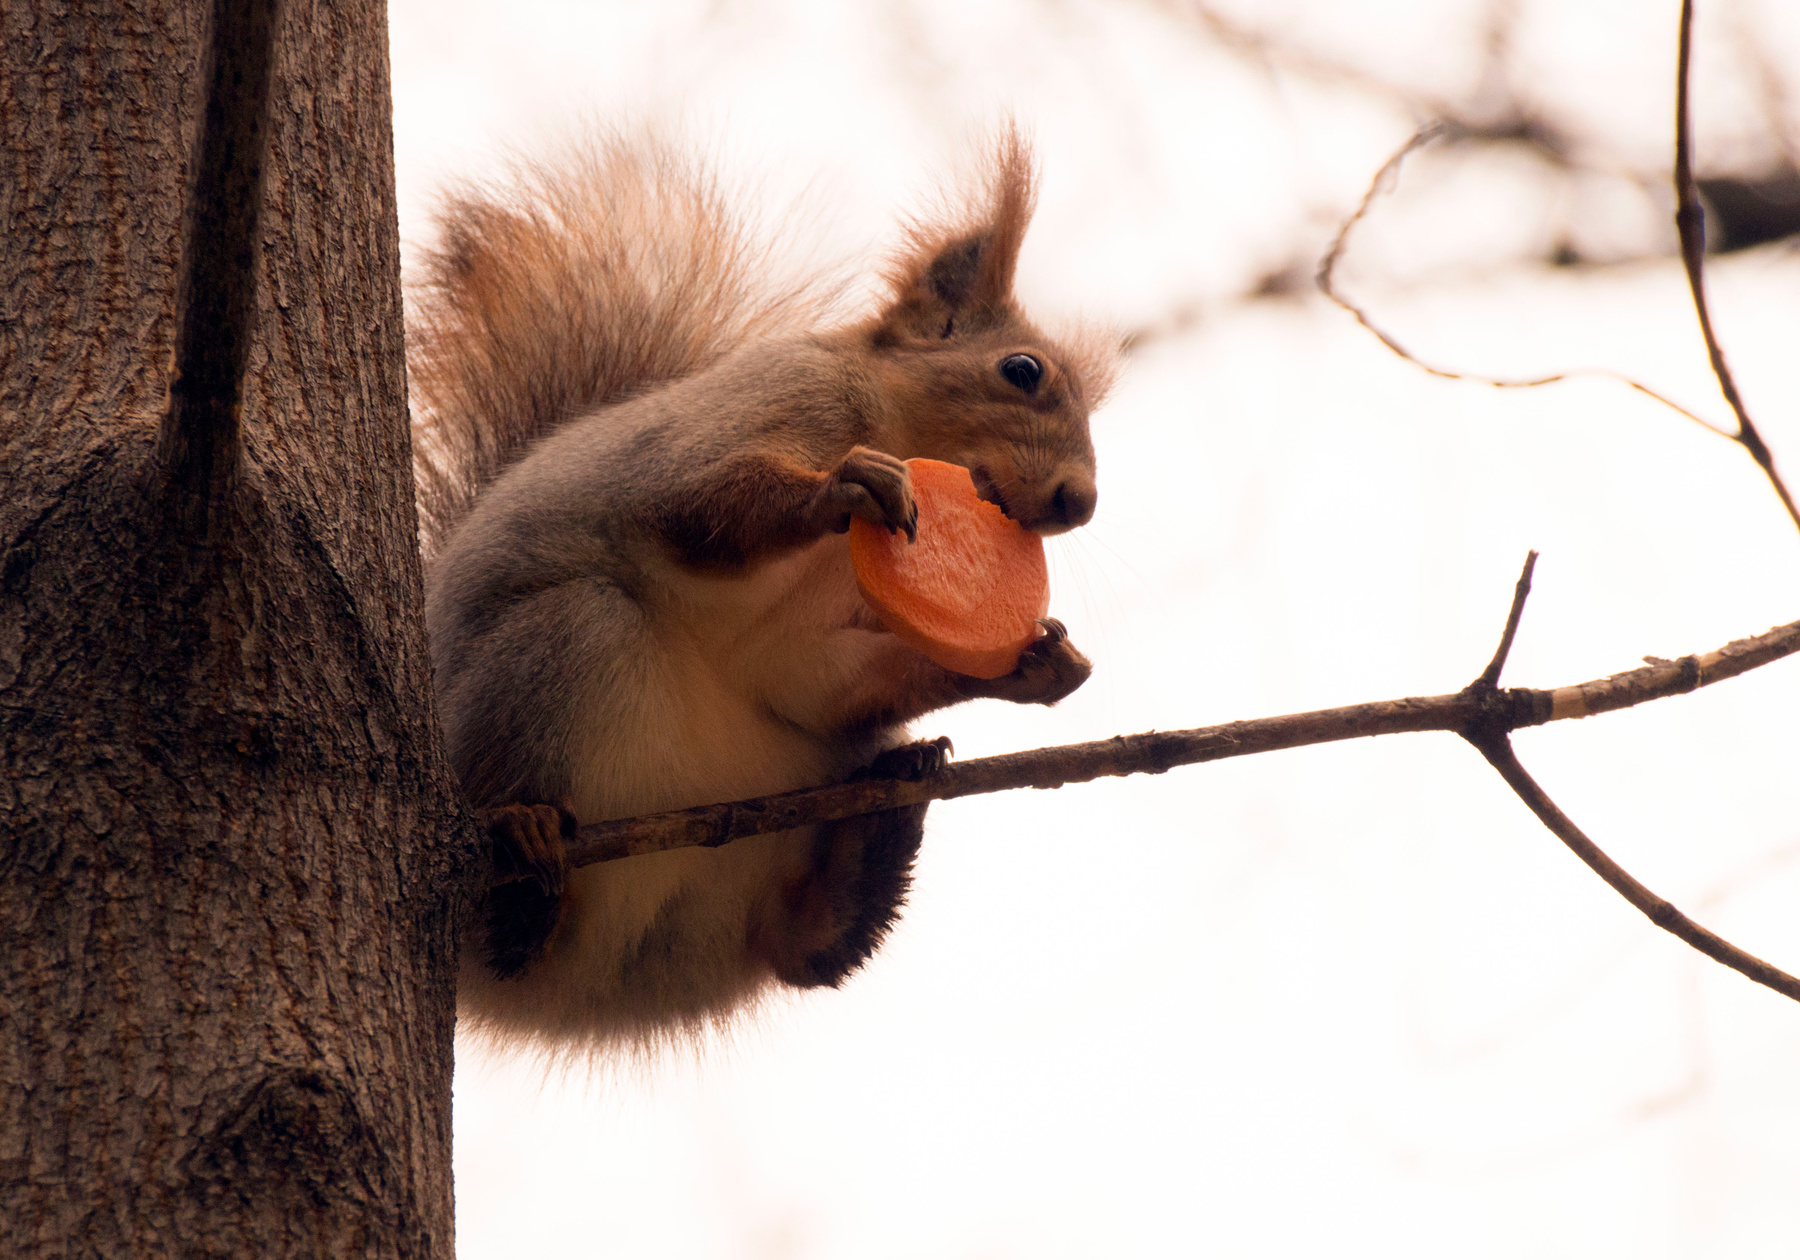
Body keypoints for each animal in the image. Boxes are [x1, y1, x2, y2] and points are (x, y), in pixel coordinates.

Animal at [409, 128, 1117, 1055]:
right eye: (1022, 370)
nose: (1081, 501)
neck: (895, 423)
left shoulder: (815, 634)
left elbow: (812, 678)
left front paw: (1035, 665)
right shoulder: (773, 409)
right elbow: (692, 503)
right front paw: (842, 489)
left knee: (799, 951)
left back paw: (882, 825)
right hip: (560, 647)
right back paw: (521, 855)